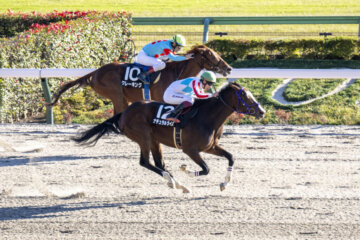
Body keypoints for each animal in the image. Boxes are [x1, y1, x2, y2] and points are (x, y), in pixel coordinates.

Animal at [49, 45, 232, 114]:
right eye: (213, 56)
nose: (229, 68)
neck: (176, 72)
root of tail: (95, 72)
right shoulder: (160, 98)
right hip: (117, 95)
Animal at [72, 82, 264, 193]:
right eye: (245, 96)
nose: (262, 111)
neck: (207, 117)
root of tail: (124, 113)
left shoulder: (210, 147)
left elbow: (231, 157)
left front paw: (224, 184)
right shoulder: (190, 150)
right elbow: (206, 169)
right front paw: (186, 170)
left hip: (154, 140)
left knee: (159, 164)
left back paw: (177, 184)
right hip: (144, 137)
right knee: (145, 162)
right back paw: (175, 182)